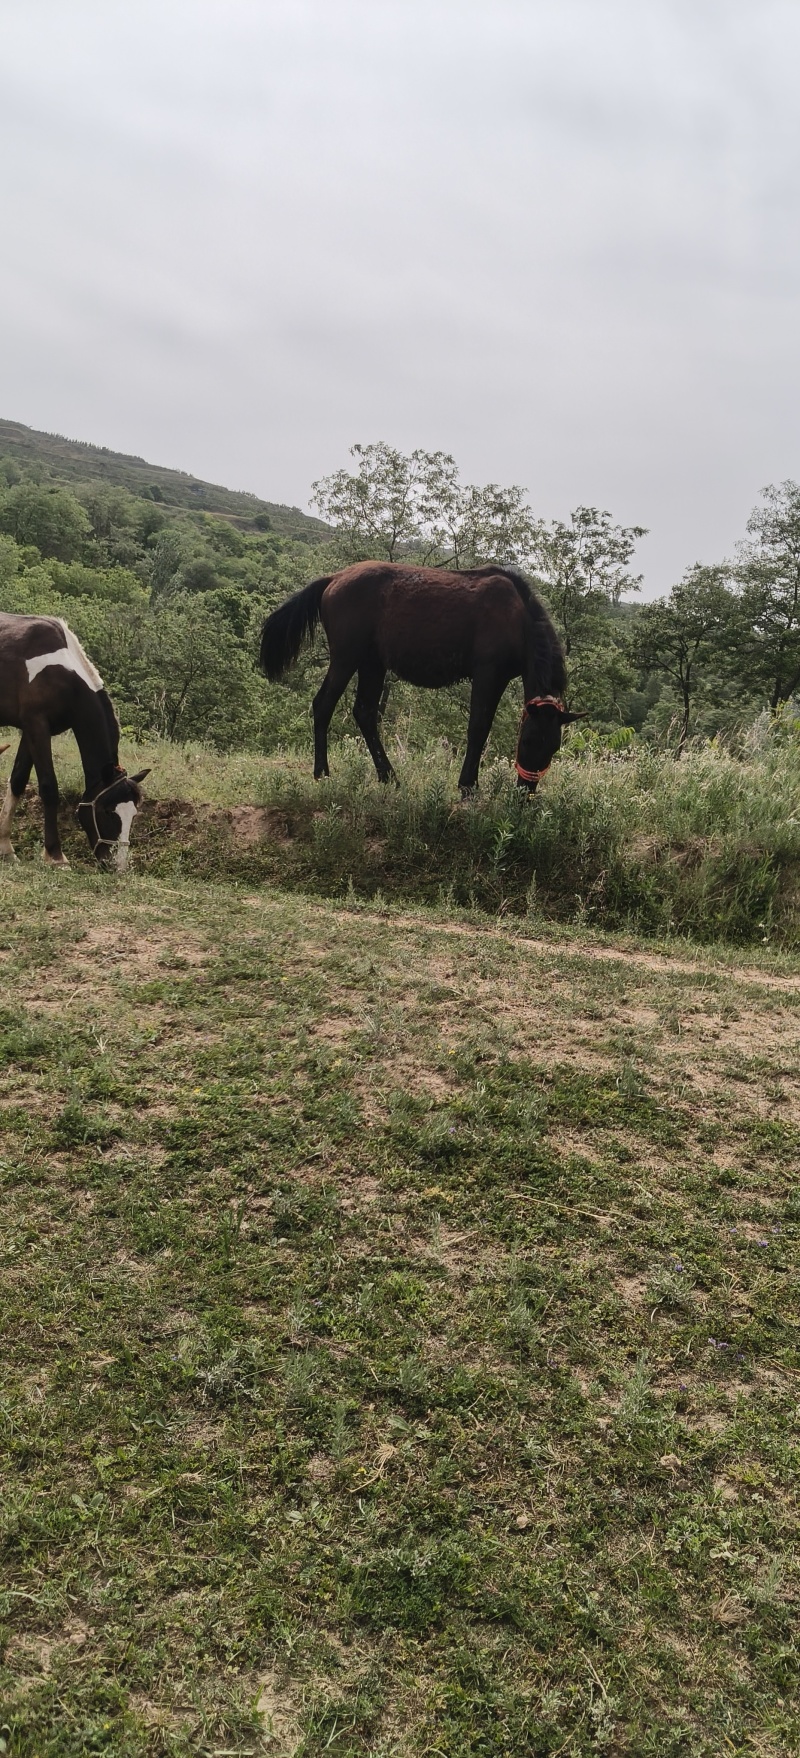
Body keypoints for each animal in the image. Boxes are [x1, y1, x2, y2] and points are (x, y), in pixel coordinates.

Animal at [0, 614, 150, 869]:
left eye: (133, 814)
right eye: (107, 811)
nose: (117, 865)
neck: (63, 673)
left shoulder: (31, 729)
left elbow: (18, 780)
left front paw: (6, 848)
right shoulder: (37, 725)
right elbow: (49, 788)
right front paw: (55, 855)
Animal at [259, 561, 581, 792]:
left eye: (553, 746)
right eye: (527, 741)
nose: (525, 793)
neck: (518, 617)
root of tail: (334, 578)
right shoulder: (488, 674)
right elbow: (478, 728)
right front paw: (468, 786)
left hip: (372, 664)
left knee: (364, 713)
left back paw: (388, 776)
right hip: (345, 659)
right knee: (323, 705)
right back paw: (322, 773)